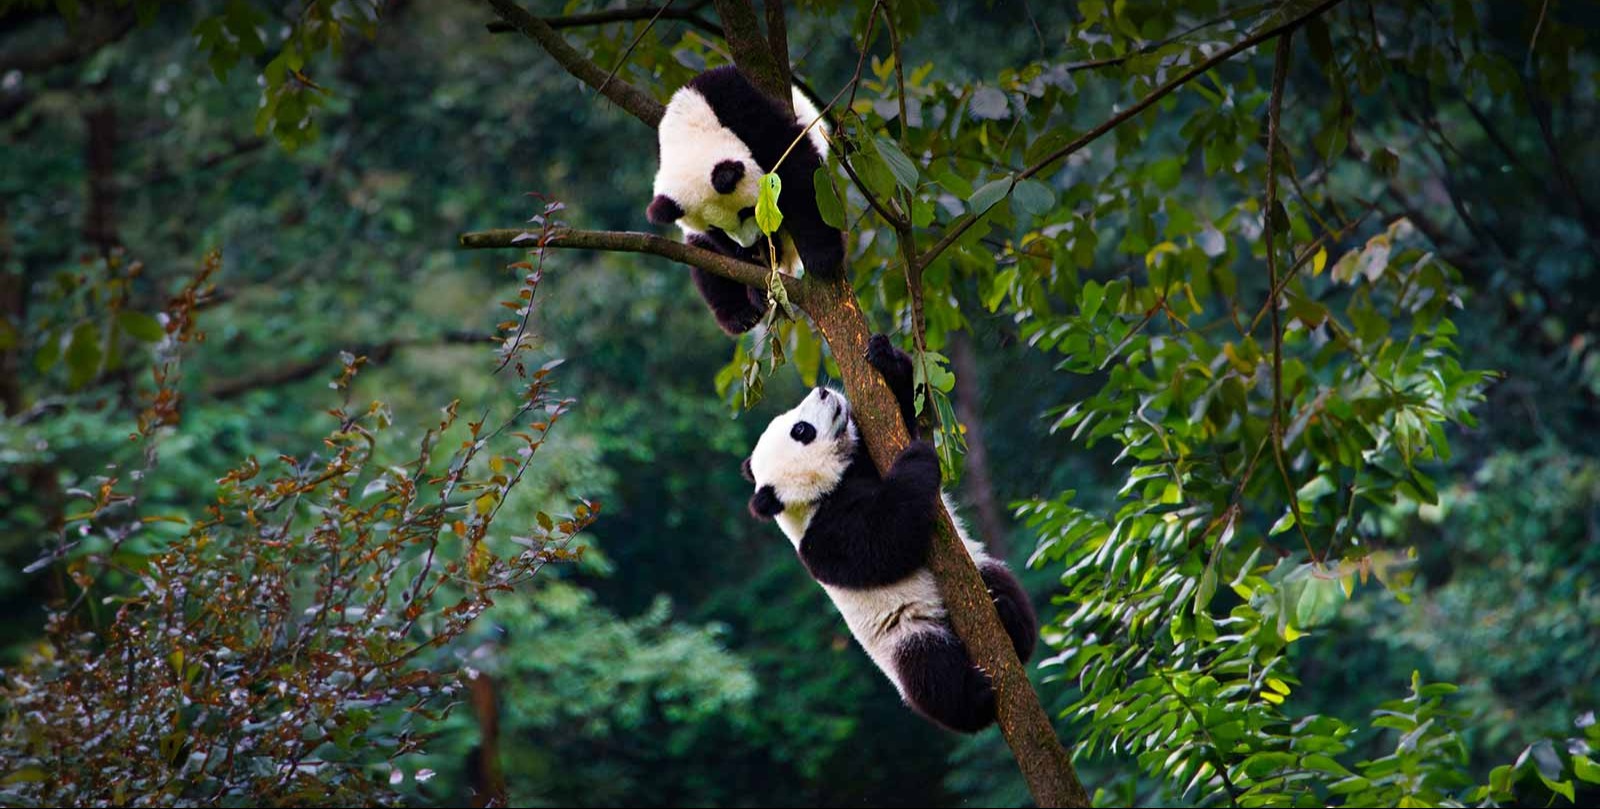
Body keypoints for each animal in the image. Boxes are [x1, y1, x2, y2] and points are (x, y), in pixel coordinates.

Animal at [647, 66, 847, 335]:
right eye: (717, 229)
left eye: (747, 211)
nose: (751, 244)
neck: (691, 128)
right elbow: (715, 251)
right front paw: (756, 283)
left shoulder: (741, 107)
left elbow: (796, 171)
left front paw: (823, 256)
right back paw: (740, 315)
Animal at [740, 334, 1037, 733]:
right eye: (800, 430)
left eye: (790, 419)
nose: (822, 391)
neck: (824, 488)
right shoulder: (823, 538)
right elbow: (882, 544)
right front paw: (916, 461)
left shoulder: (865, 457)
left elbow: (906, 414)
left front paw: (884, 357)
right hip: (902, 636)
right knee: (929, 672)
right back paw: (975, 697)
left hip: (979, 565)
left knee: (1002, 585)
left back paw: (1008, 616)